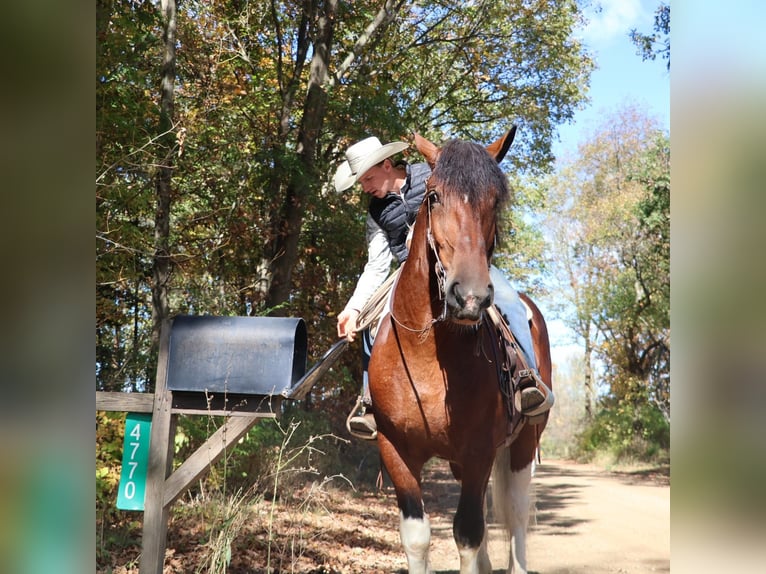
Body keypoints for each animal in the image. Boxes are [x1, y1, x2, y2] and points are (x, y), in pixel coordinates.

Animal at [367, 127, 552, 574]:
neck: (427, 357)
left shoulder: (479, 450)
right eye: (434, 196)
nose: (469, 297)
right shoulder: (395, 450)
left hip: (523, 443)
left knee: (515, 511)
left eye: (495, 200)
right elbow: (417, 535)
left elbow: (468, 532)